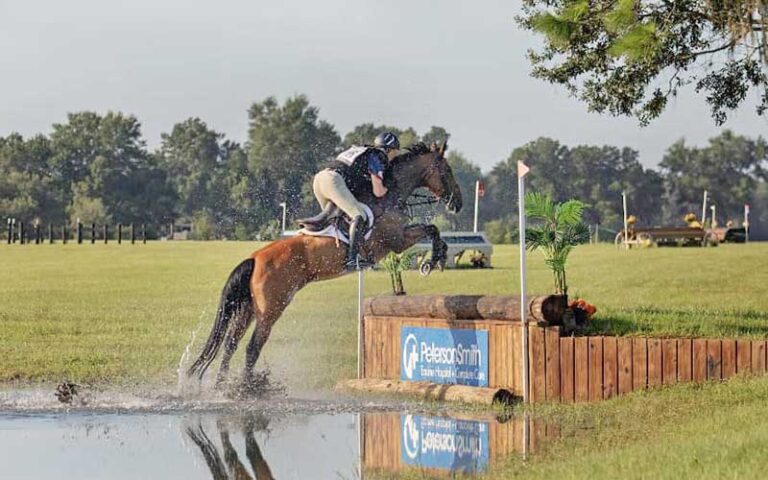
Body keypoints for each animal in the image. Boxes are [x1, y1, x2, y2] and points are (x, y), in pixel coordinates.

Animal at [186, 141, 462, 388]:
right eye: (447, 171)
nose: (457, 203)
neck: (390, 195)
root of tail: (254, 258)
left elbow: (433, 230)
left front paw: (438, 257)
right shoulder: (397, 240)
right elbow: (431, 228)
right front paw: (433, 260)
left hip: (248, 309)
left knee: (231, 343)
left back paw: (222, 386)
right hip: (271, 309)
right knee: (252, 347)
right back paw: (247, 387)